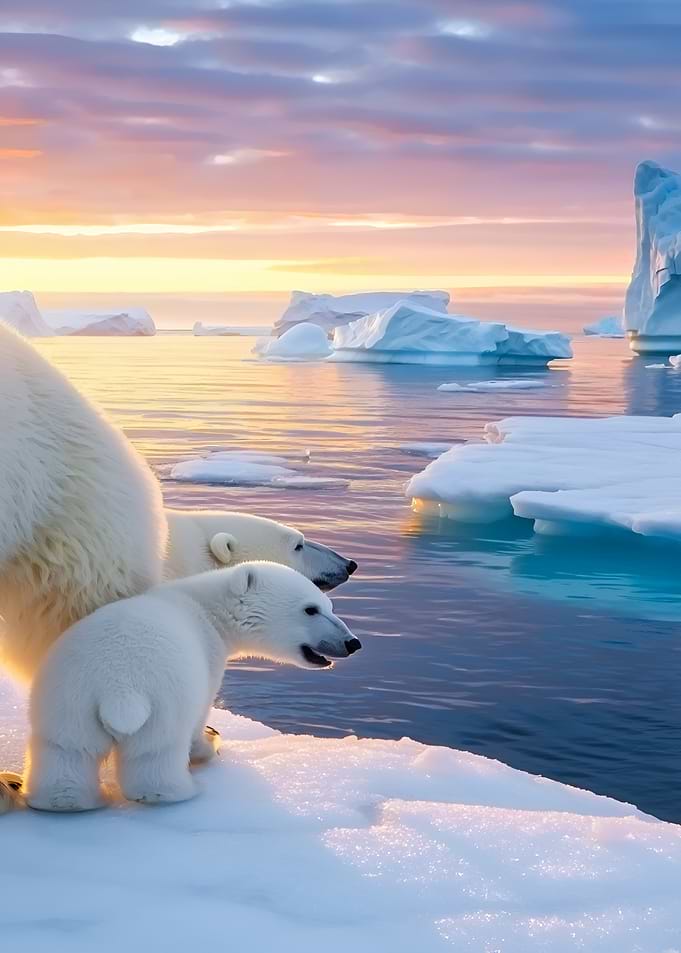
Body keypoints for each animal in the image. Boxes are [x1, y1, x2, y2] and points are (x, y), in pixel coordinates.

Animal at [24, 562, 362, 812]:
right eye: (311, 609)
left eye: (329, 606)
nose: (352, 643)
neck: (205, 607)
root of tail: (119, 689)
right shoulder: (208, 655)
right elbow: (203, 710)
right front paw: (208, 743)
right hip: (163, 702)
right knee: (155, 754)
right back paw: (177, 792)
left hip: (68, 696)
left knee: (67, 749)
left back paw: (66, 801)